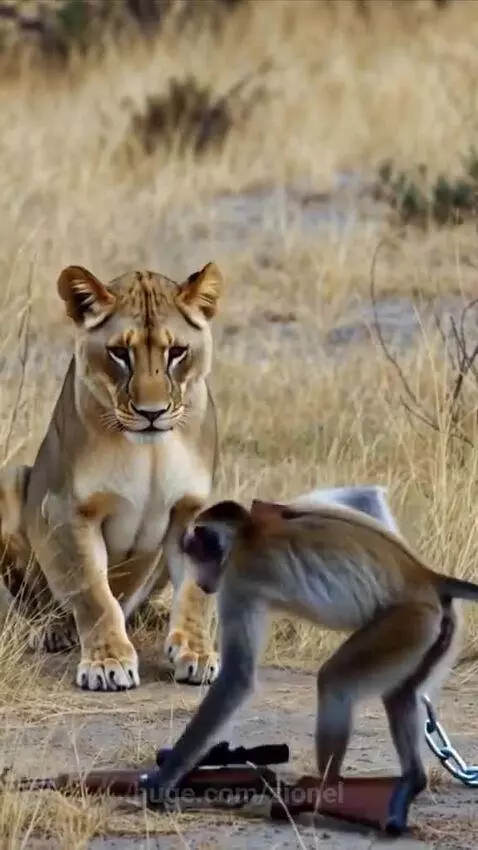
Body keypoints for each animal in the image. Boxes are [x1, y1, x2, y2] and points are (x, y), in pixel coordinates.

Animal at [0, 262, 222, 691]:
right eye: (120, 353)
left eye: (177, 352)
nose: (152, 412)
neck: (151, 450)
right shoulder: (70, 511)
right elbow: (93, 594)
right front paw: (108, 662)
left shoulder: (190, 512)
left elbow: (195, 593)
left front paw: (197, 653)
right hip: (10, 481)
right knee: (39, 603)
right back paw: (50, 630)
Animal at [145, 496, 478, 824]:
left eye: (200, 556)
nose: (201, 583)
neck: (247, 531)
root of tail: (427, 577)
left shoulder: (239, 574)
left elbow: (237, 678)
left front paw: (162, 781)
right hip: (432, 629)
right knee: (400, 694)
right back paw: (411, 780)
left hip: (408, 621)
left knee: (335, 682)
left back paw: (324, 790)